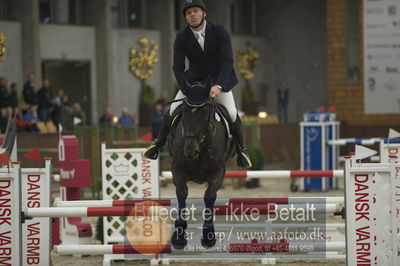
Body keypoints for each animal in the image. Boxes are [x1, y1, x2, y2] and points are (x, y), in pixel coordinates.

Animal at [166, 97, 234, 249]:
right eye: (184, 112)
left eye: (204, 113)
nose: (190, 151)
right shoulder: (177, 169)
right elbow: (182, 192)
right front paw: (179, 237)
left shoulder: (218, 172)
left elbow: (209, 195)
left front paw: (209, 236)